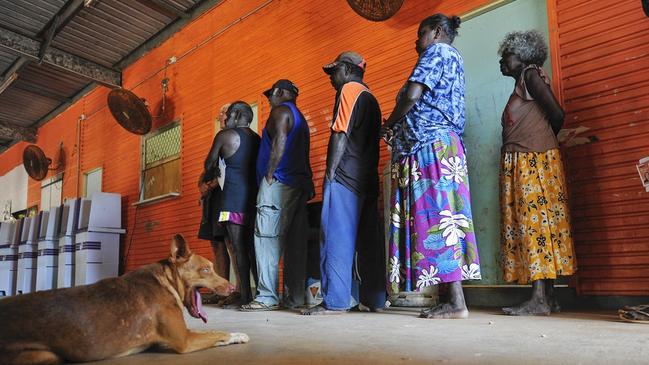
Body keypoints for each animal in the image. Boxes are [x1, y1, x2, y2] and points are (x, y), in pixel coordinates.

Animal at [0, 235, 249, 362]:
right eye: (206, 270)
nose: (232, 286)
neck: (165, 280)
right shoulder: (185, 340)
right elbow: (217, 333)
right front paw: (237, 335)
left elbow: (214, 331)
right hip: (44, 356)